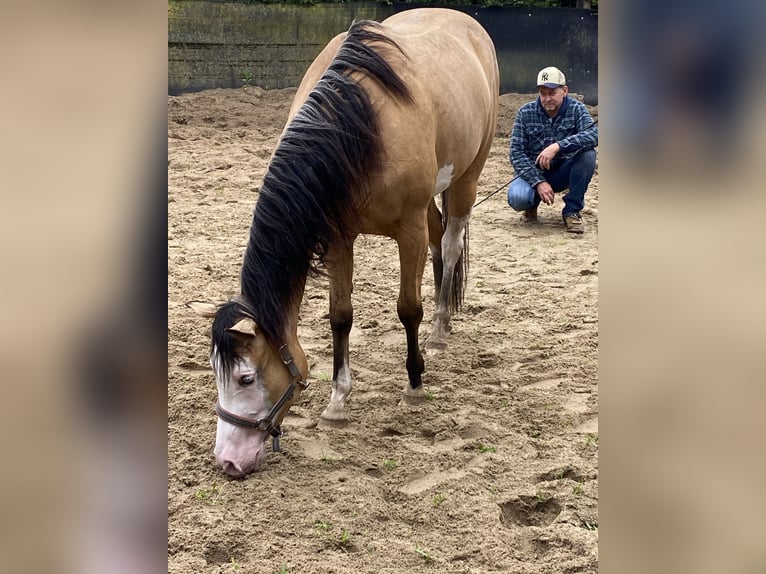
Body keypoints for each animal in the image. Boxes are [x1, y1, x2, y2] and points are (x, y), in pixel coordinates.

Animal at [190, 7, 500, 476]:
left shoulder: (406, 229)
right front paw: (338, 400)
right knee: (439, 241)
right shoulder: (339, 237)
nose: (227, 461)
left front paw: (414, 383)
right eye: (213, 372)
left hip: (467, 177)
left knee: (449, 244)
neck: (359, 127)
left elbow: (408, 309)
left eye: (246, 377)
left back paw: (440, 328)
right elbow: (340, 316)